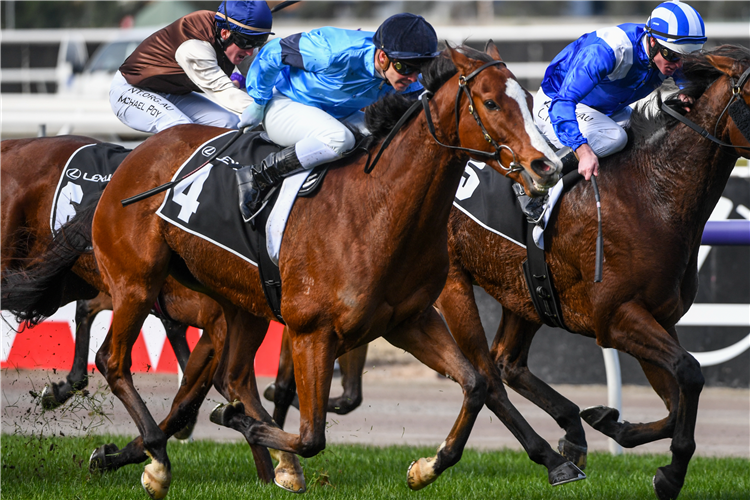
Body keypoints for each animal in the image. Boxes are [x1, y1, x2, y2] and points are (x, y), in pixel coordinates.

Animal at [73, 45, 580, 498]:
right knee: (113, 360)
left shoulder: (409, 320)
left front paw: (426, 467)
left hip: (241, 300)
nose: (547, 165)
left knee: (232, 376)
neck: (376, 208)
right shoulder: (311, 332)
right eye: (491, 102)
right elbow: (312, 435)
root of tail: (136, 155)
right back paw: (157, 460)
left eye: (529, 100)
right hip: (137, 282)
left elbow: (475, 384)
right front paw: (235, 424)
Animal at [268, 45, 750, 498]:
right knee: (487, 375)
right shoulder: (616, 318)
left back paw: (571, 431)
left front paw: (613, 424)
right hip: (456, 286)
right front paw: (668, 472)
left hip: (527, 290)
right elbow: (689, 373)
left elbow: (677, 398)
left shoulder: (659, 317)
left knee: (506, 363)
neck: (652, 194)